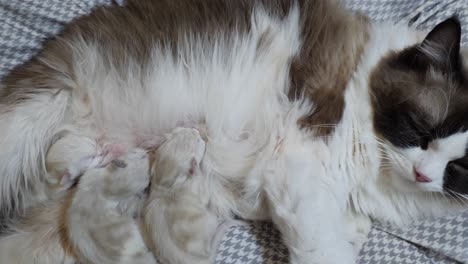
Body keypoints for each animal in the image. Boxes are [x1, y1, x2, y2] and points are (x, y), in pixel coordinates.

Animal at [0, 0, 468, 264]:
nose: (424, 175)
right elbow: (323, 248)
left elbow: (348, 230)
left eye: (460, 169)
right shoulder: (298, 167)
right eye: (420, 127)